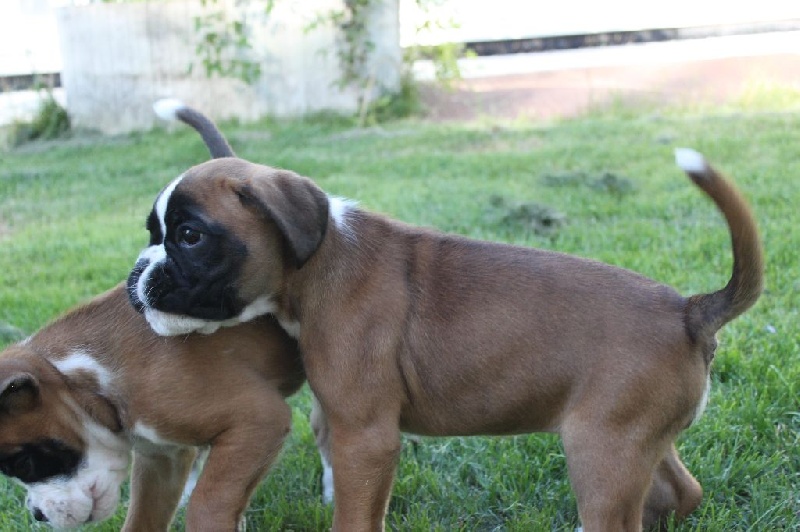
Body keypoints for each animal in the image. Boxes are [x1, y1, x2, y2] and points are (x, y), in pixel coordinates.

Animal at [0, 282, 304, 528]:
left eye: (24, 465)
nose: (37, 514)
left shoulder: (260, 420)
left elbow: (208, 504)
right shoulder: (161, 461)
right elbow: (142, 521)